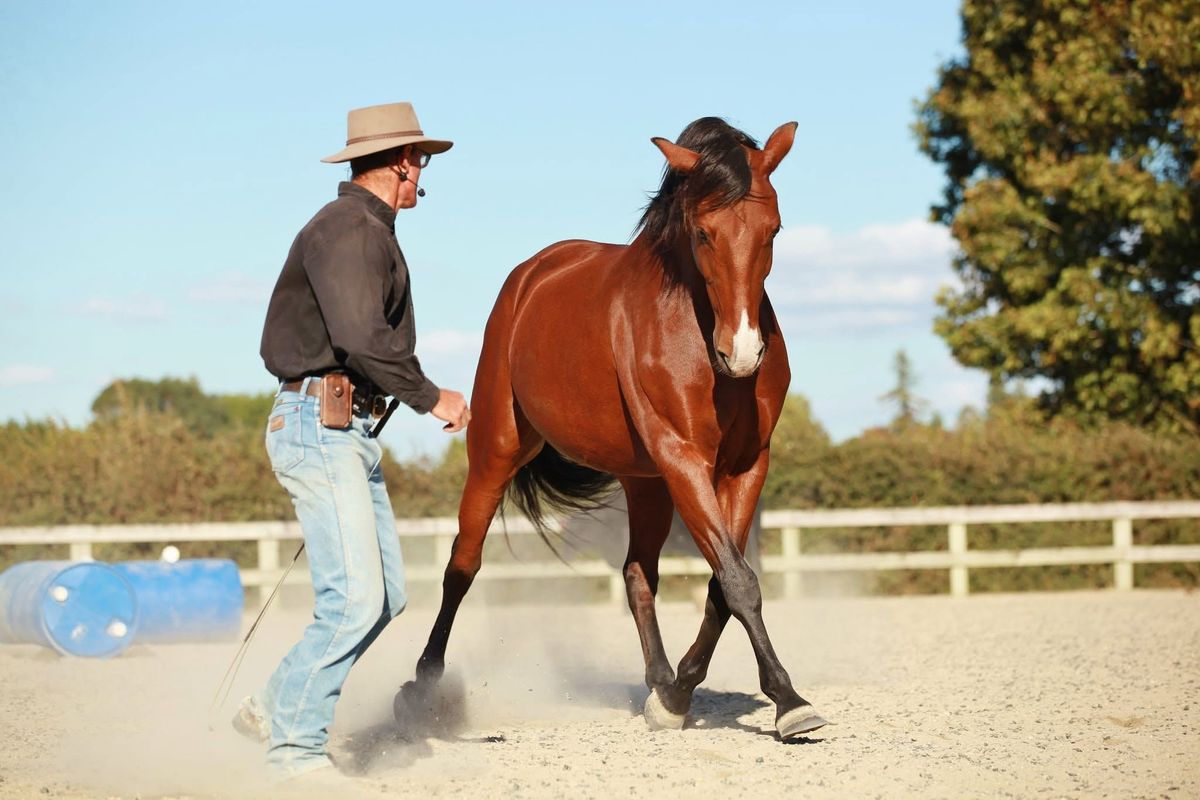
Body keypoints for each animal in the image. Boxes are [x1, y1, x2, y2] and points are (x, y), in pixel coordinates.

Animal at [398, 117, 830, 738]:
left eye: (773, 229)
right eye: (703, 233)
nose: (743, 352)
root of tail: (531, 275)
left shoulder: (746, 466)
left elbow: (725, 582)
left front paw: (680, 695)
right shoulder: (684, 459)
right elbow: (738, 580)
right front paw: (789, 699)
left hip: (645, 483)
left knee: (636, 575)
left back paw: (660, 684)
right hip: (497, 451)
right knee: (462, 565)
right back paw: (423, 685)